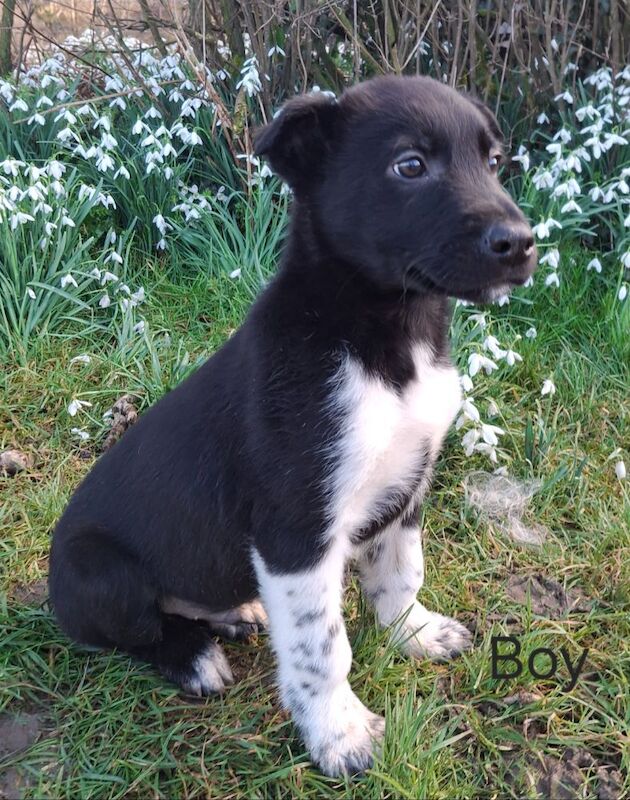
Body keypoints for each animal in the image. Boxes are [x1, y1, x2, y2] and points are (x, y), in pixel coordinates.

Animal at [50, 75, 540, 776]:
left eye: (494, 162)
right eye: (410, 166)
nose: (522, 243)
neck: (390, 341)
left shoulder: (407, 485)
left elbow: (401, 574)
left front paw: (414, 633)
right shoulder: (296, 530)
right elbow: (322, 648)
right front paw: (339, 734)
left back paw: (234, 612)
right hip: (99, 575)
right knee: (141, 630)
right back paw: (193, 656)